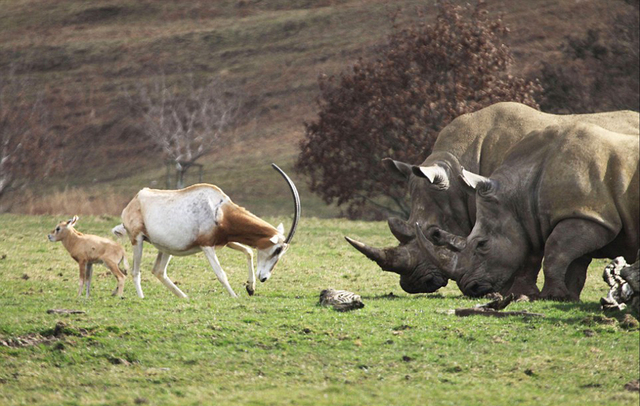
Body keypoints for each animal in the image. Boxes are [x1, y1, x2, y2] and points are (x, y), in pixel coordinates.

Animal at [112, 163, 300, 300]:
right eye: (277, 250)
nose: (264, 278)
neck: (221, 210)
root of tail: (134, 200)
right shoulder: (207, 246)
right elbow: (221, 273)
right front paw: (235, 296)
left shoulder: (226, 240)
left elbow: (248, 252)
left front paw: (250, 287)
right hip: (138, 240)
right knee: (136, 271)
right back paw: (142, 297)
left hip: (166, 248)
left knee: (158, 271)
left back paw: (184, 297)